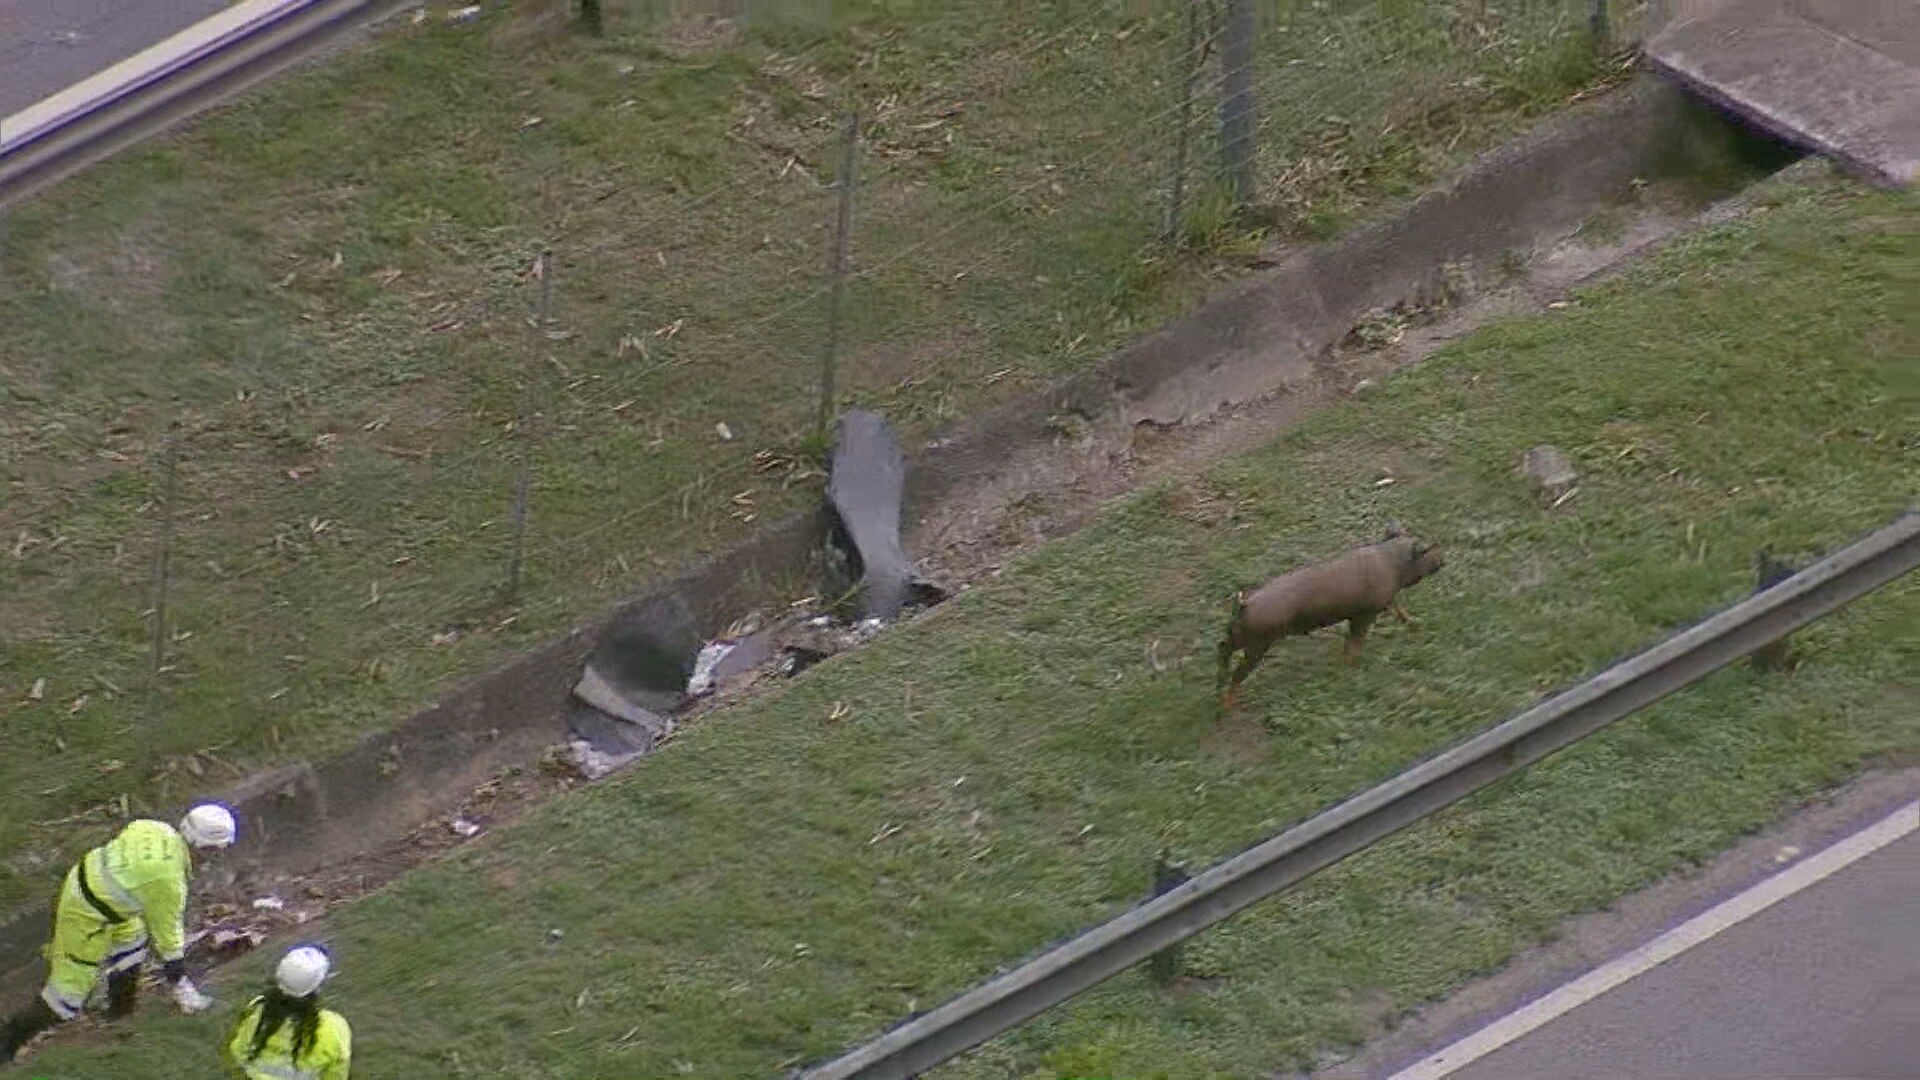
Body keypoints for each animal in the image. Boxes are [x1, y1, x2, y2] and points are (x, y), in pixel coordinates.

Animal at [1213, 522, 1443, 707]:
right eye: (1426, 549)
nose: (1442, 558)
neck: (1393, 563)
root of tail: (1244, 603)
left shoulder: (1383, 603)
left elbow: (1400, 612)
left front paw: (1418, 628)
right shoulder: (1365, 615)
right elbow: (1355, 644)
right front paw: (1351, 670)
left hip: (1240, 636)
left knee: (1222, 648)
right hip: (1257, 645)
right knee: (1236, 674)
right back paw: (1228, 707)